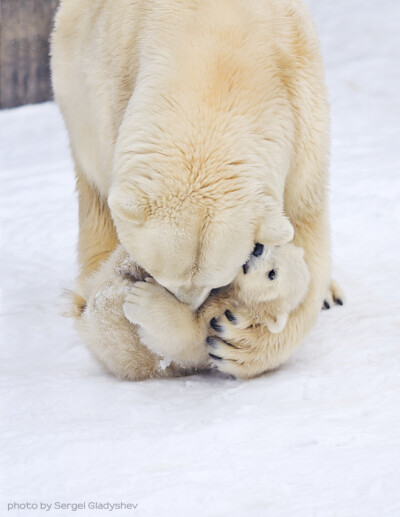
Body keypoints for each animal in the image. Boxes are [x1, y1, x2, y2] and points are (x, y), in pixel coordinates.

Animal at [51, 0, 342, 378]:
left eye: (216, 281)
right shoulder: (114, 87)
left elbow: (304, 229)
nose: (188, 305)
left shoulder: (300, 108)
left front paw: (238, 339)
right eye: (161, 274)